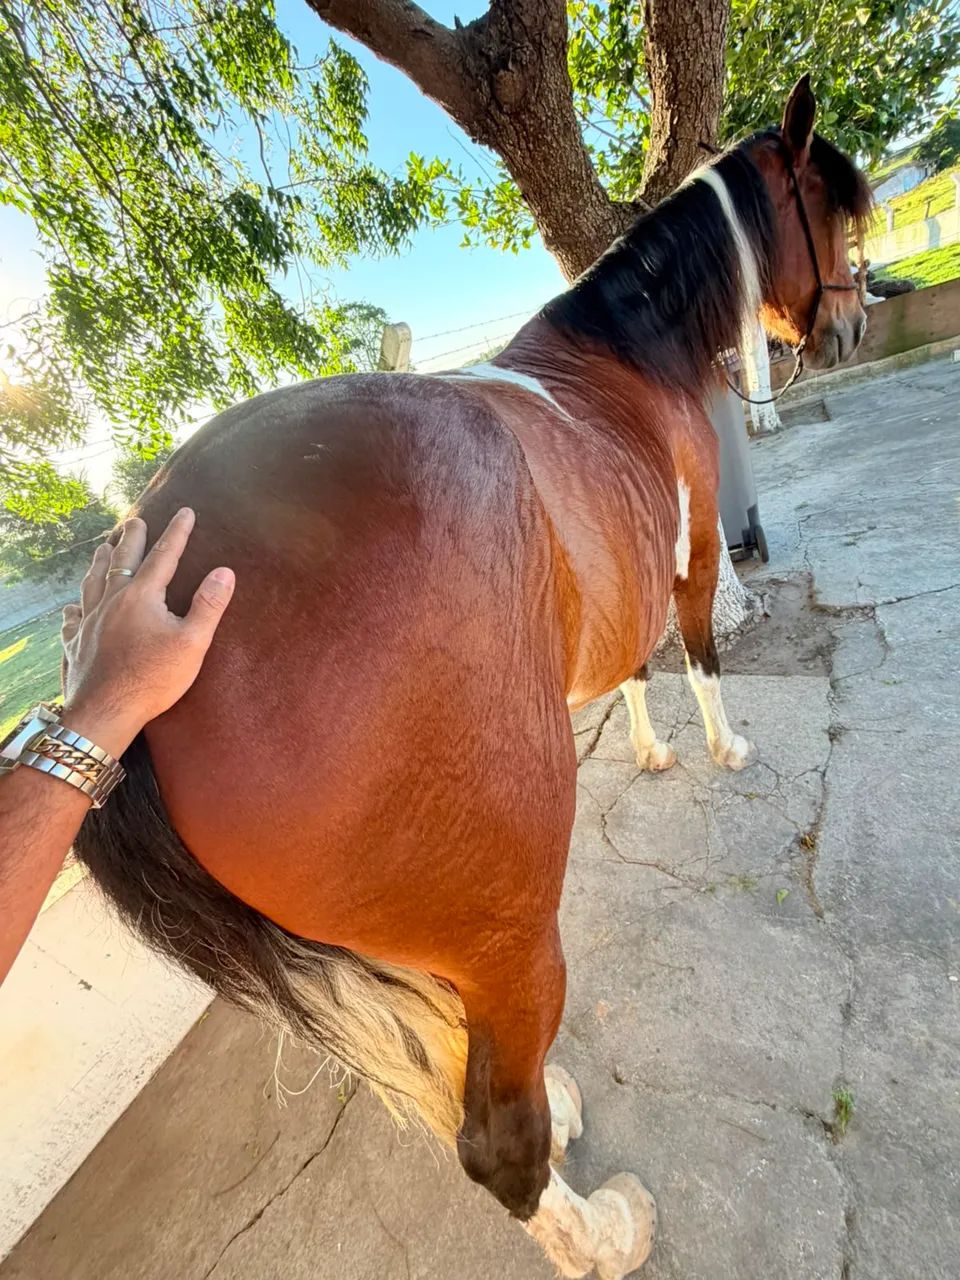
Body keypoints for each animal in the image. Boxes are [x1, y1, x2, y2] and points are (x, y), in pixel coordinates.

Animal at [74, 76, 870, 1278]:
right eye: (833, 209)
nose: (856, 322)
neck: (622, 354)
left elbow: (634, 673)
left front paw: (651, 747)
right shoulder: (684, 561)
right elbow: (698, 655)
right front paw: (725, 746)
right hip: (508, 920)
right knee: (496, 1137)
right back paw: (604, 1230)